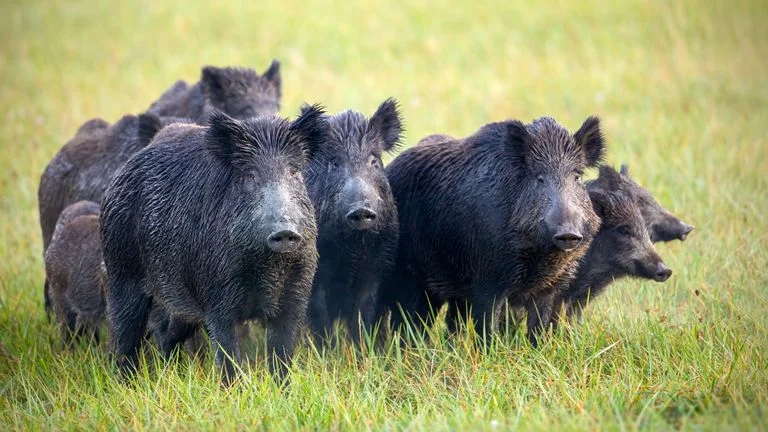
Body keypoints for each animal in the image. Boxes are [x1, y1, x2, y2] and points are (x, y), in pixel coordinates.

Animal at [100, 107, 327, 384]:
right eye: (250, 175)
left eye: (294, 172)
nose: (285, 231)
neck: (268, 266)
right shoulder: (217, 298)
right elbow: (229, 356)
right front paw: (234, 389)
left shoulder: (295, 297)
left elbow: (282, 357)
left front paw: (282, 389)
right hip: (121, 273)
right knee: (125, 336)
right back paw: (127, 383)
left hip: (178, 303)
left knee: (167, 335)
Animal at [305, 98, 403, 346]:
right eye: (335, 163)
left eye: (374, 160)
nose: (361, 209)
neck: (352, 247)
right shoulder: (315, 277)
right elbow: (320, 320)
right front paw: (329, 352)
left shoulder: (377, 268)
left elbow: (363, 316)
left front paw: (364, 351)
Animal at [380, 116, 605, 344]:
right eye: (539, 178)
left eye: (577, 177)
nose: (568, 233)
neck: (539, 254)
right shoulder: (487, 281)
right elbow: (488, 329)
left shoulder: (549, 288)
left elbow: (538, 329)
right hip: (410, 279)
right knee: (409, 322)